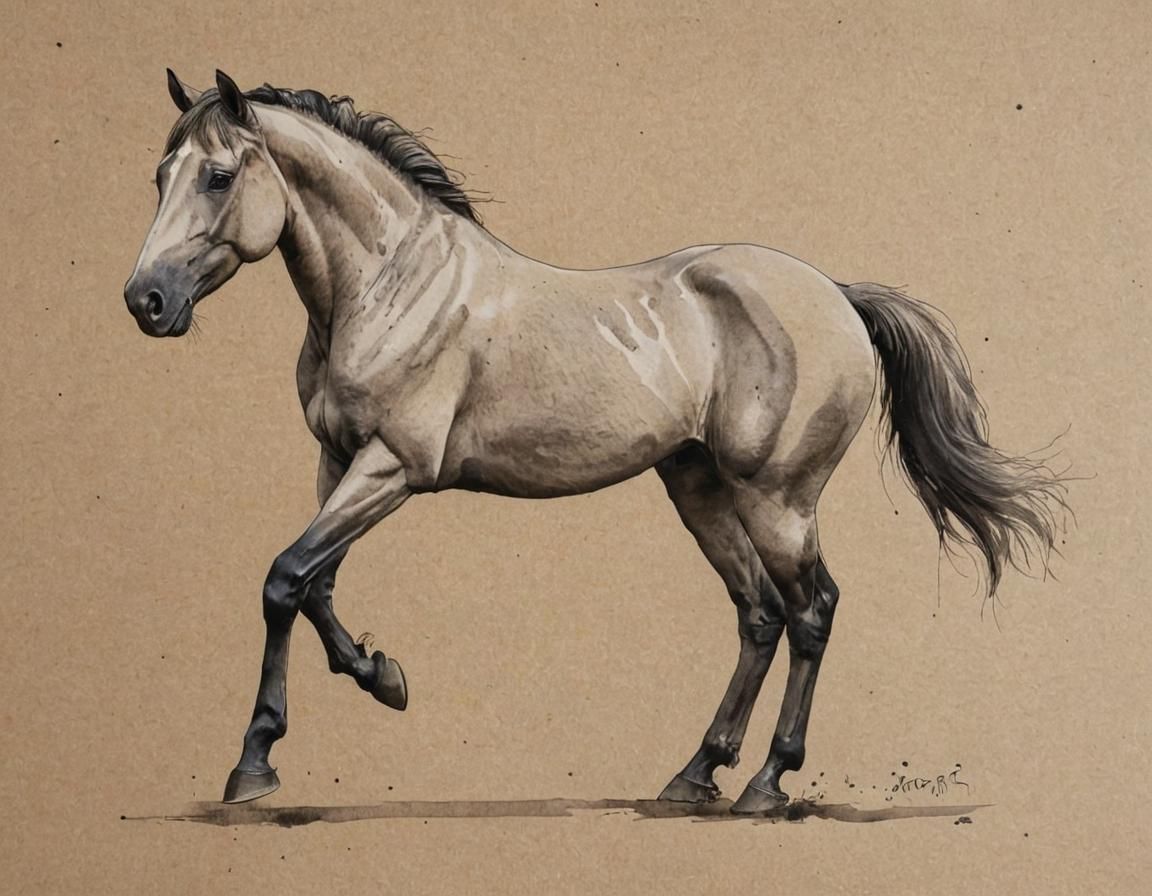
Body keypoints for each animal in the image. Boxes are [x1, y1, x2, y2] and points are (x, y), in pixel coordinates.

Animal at [124, 70, 1066, 812]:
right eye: (161, 174)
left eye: (218, 176)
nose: (146, 301)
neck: (393, 284)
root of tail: (836, 293)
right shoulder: (338, 464)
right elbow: (317, 587)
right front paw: (383, 679)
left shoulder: (393, 468)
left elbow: (284, 579)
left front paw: (255, 762)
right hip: (698, 487)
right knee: (759, 614)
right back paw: (695, 774)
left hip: (779, 500)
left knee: (811, 612)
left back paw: (767, 783)